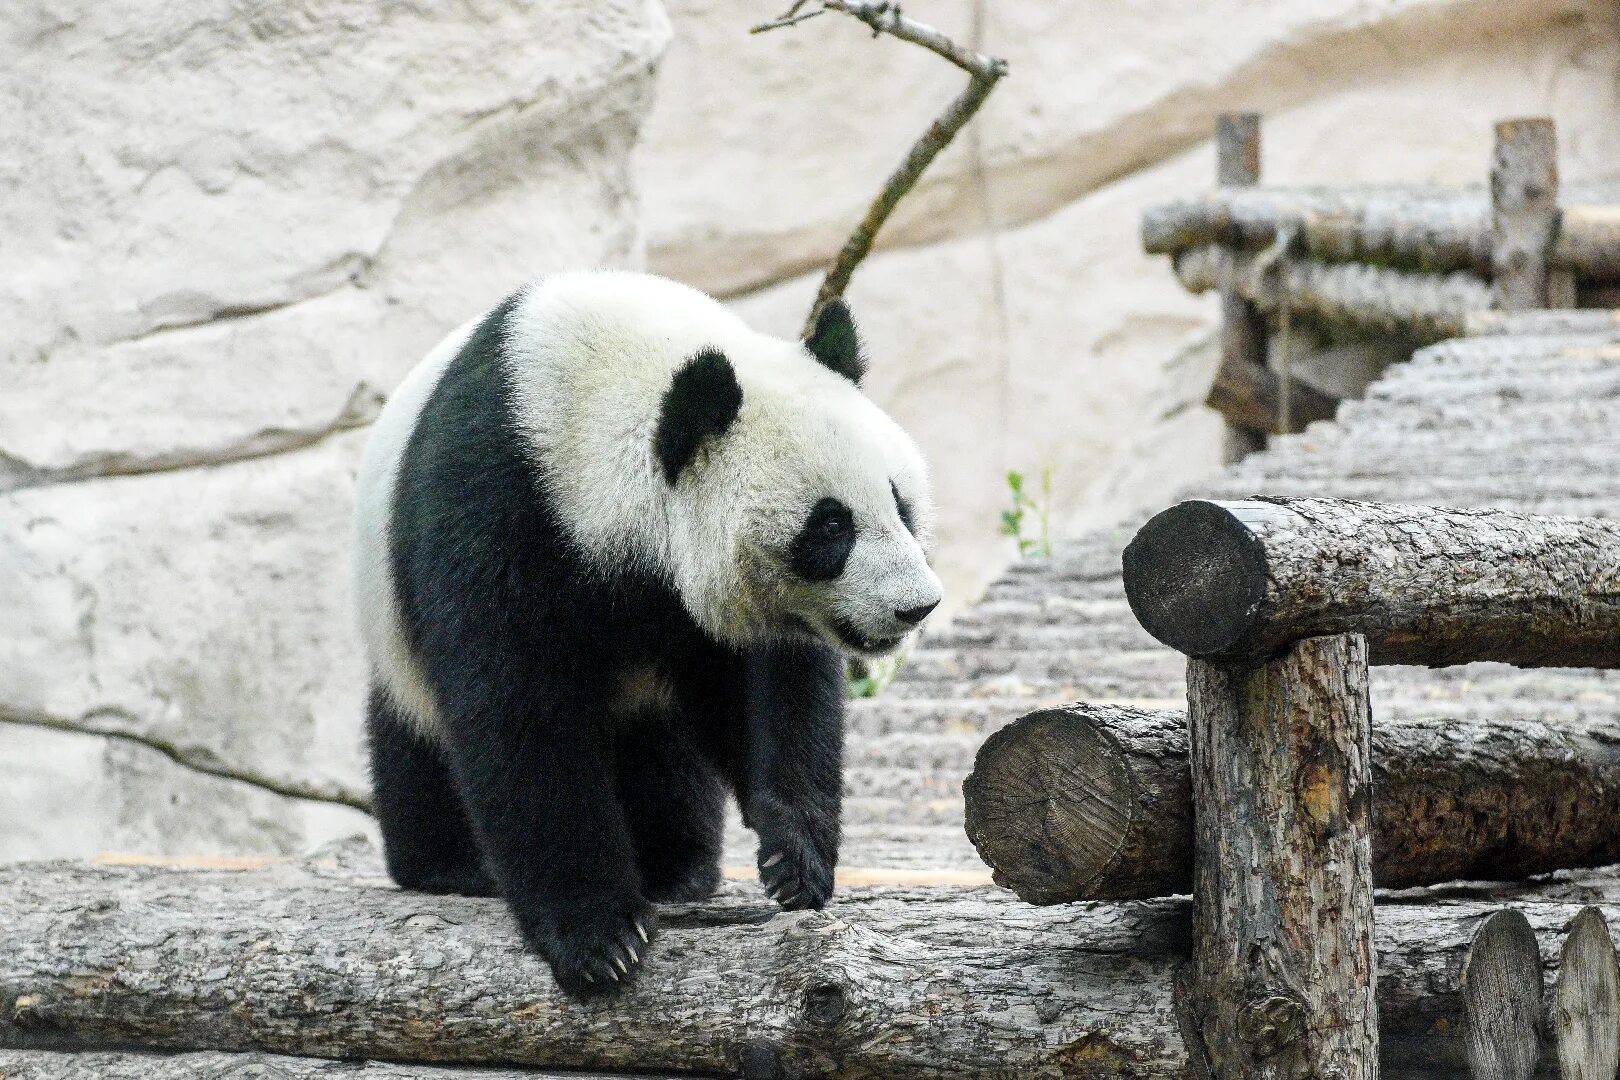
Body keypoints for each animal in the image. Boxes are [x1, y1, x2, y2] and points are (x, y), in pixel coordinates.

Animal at [351, 272, 939, 997]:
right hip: (392, 633)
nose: (916, 607)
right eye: (830, 527)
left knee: (666, 759)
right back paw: (448, 864)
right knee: (415, 740)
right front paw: (599, 938)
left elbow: (774, 688)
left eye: (901, 504)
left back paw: (676, 865)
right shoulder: (495, 505)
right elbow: (516, 715)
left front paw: (794, 859)